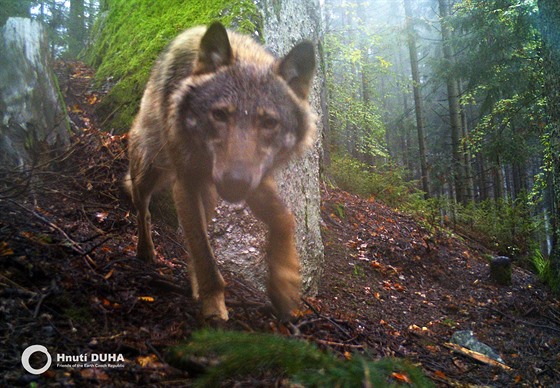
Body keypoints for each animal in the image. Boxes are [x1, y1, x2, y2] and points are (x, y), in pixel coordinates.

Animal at [126, 22, 316, 322]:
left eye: (269, 123)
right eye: (219, 115)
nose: (235, 182)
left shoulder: (254, 180)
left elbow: (284, 218)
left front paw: (283, 284)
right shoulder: (186, 181)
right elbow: (205, 256)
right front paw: (214, 309)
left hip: (210, 193)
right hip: (149, 171)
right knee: (143, 209)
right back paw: (146, 251)